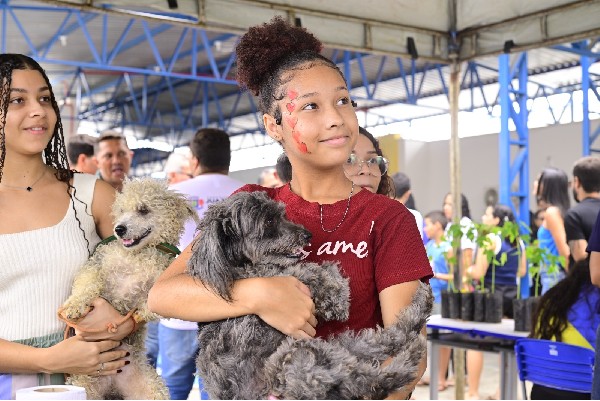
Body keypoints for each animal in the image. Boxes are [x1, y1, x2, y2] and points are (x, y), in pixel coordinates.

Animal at [59, 177, 197, 400]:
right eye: (121, 210)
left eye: (143, 209)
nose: (119, 229)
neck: (138, 255)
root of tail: (112, 388)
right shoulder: (97, 263)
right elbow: (86, 283)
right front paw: (75, 306)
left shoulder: (165, 284)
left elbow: (153, 303)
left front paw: (140, 312)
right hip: (84, 385)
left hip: (152, 389)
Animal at [187, 190, 433, 399]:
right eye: (269, 221)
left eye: (282, 214)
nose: (308, 234)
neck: (234, 264)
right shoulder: (268, 274)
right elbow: (308, 270)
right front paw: (336, 299)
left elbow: (327, 267)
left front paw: (337, 289)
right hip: (296, 359)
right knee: (370, 382)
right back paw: (408, 357)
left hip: (335, 347)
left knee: (390, 339)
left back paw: (422, 307)